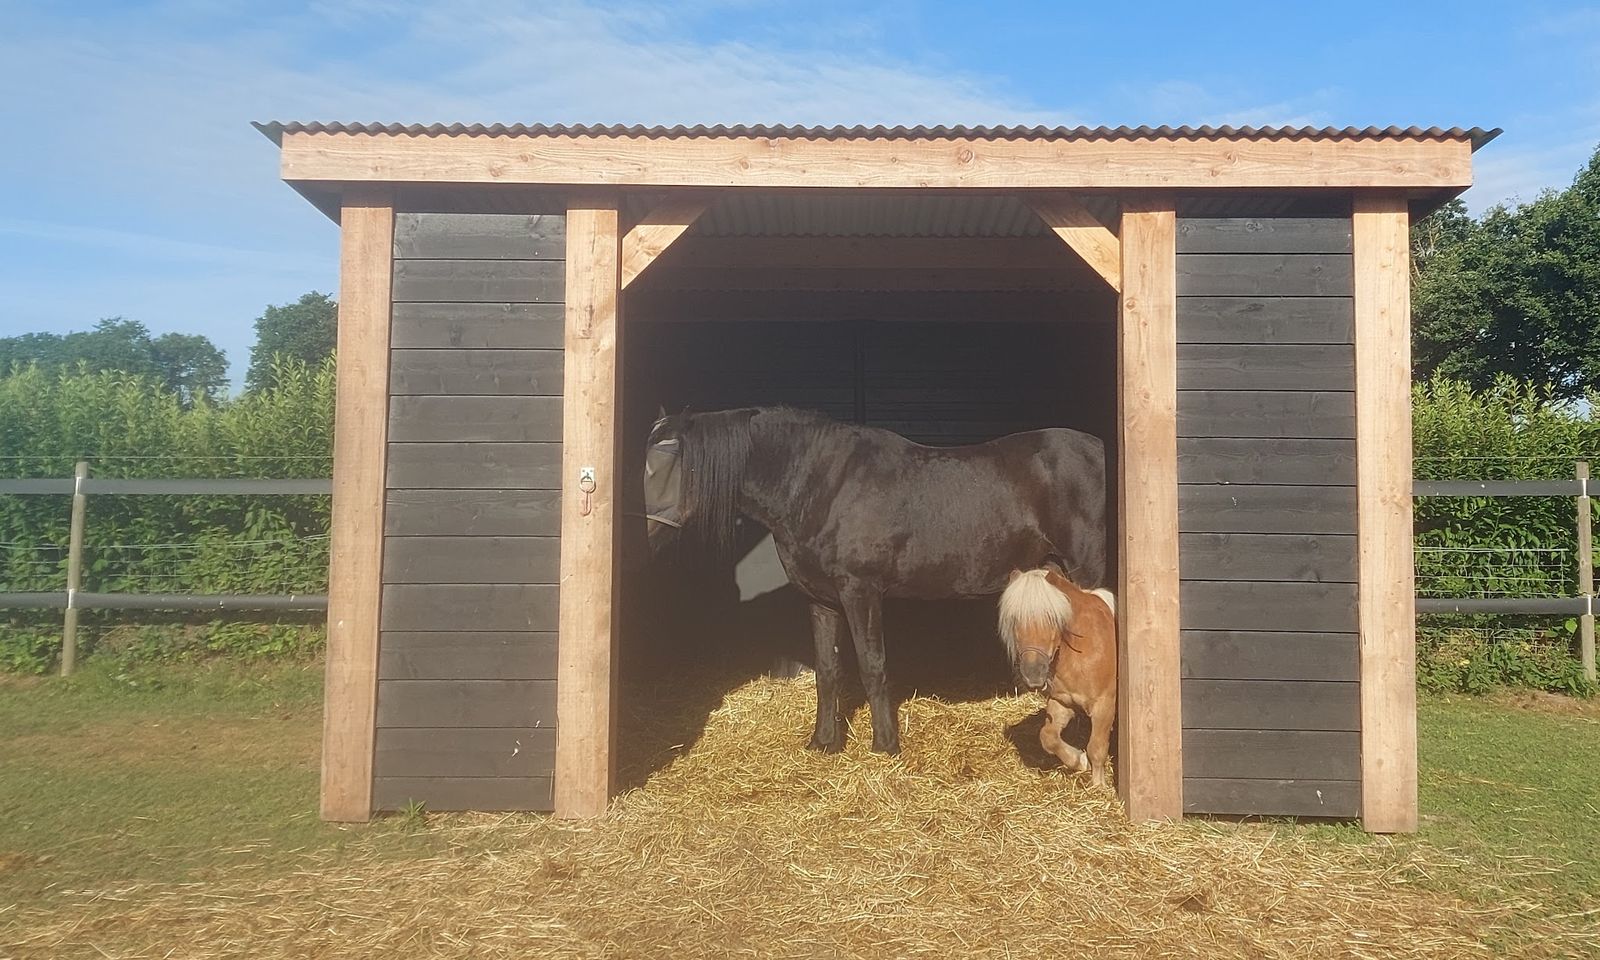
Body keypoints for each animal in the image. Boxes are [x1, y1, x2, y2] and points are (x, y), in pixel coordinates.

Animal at [641, 406, 1107, 755]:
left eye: (670, 465)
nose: (645, 535)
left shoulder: (860, 591)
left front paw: (885, 745)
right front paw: (824, 742)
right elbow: (827, 669)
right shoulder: (821, 599)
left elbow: (872, 665)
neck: (820, 486)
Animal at [997, 565, 1117, 786]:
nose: (1033, 674)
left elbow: (1096, 748)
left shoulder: (1104, 705)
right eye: (1015, 620)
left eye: (1052, 618)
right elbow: (1048, 737)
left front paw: (1098, 786)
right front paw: (1078, 760)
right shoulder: (1062, 702)